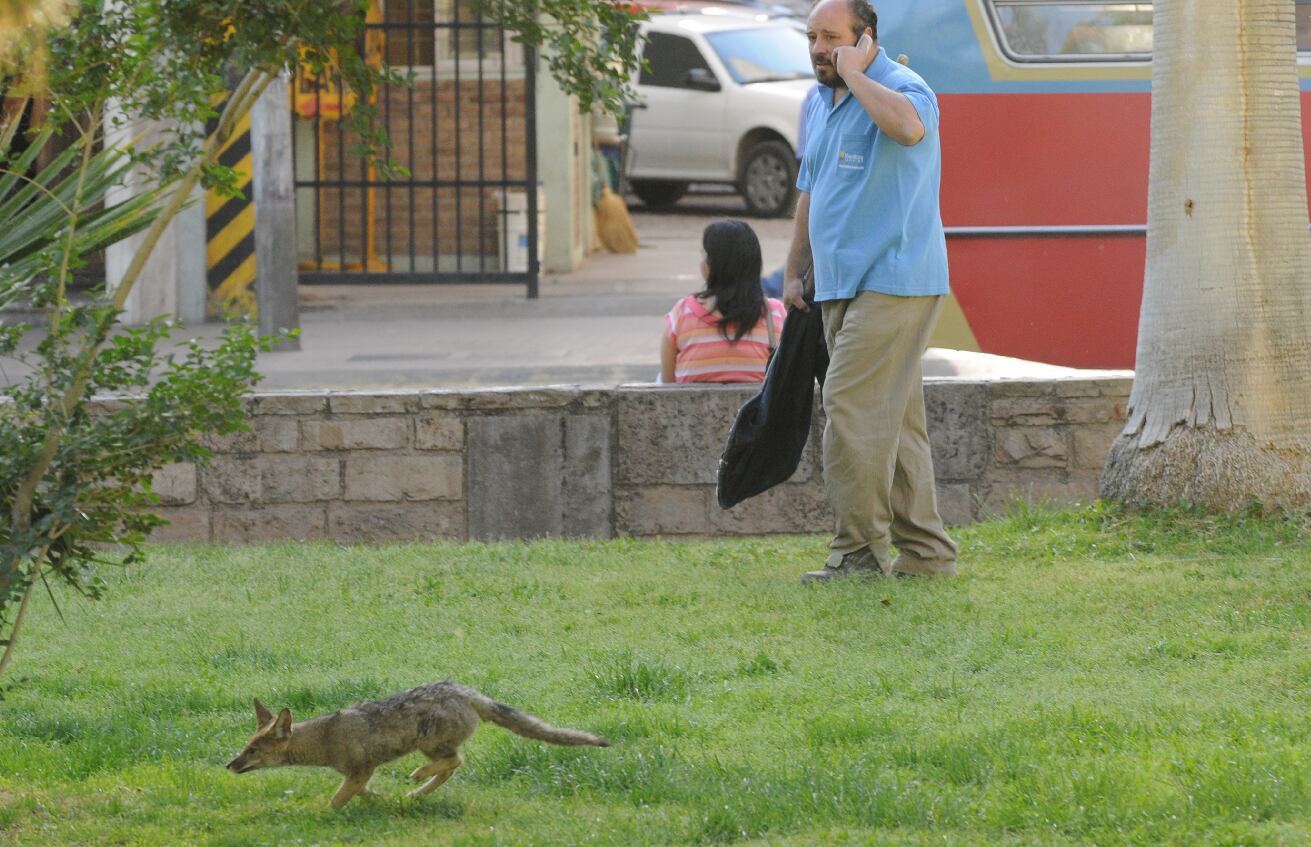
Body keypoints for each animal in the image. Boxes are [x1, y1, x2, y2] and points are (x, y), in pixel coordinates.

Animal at [225, 681, 608, 807]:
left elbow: (335, 802)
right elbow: (362, 793)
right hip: (435, 745)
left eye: (253, 751)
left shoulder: (360, 769)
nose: (228, 765)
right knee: (452, 766)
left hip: (429, 743)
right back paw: (416, 793)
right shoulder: (357, 774)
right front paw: (383, 800)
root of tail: (466, 691)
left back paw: (417, 777)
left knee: (454, 762)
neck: (326, 737)